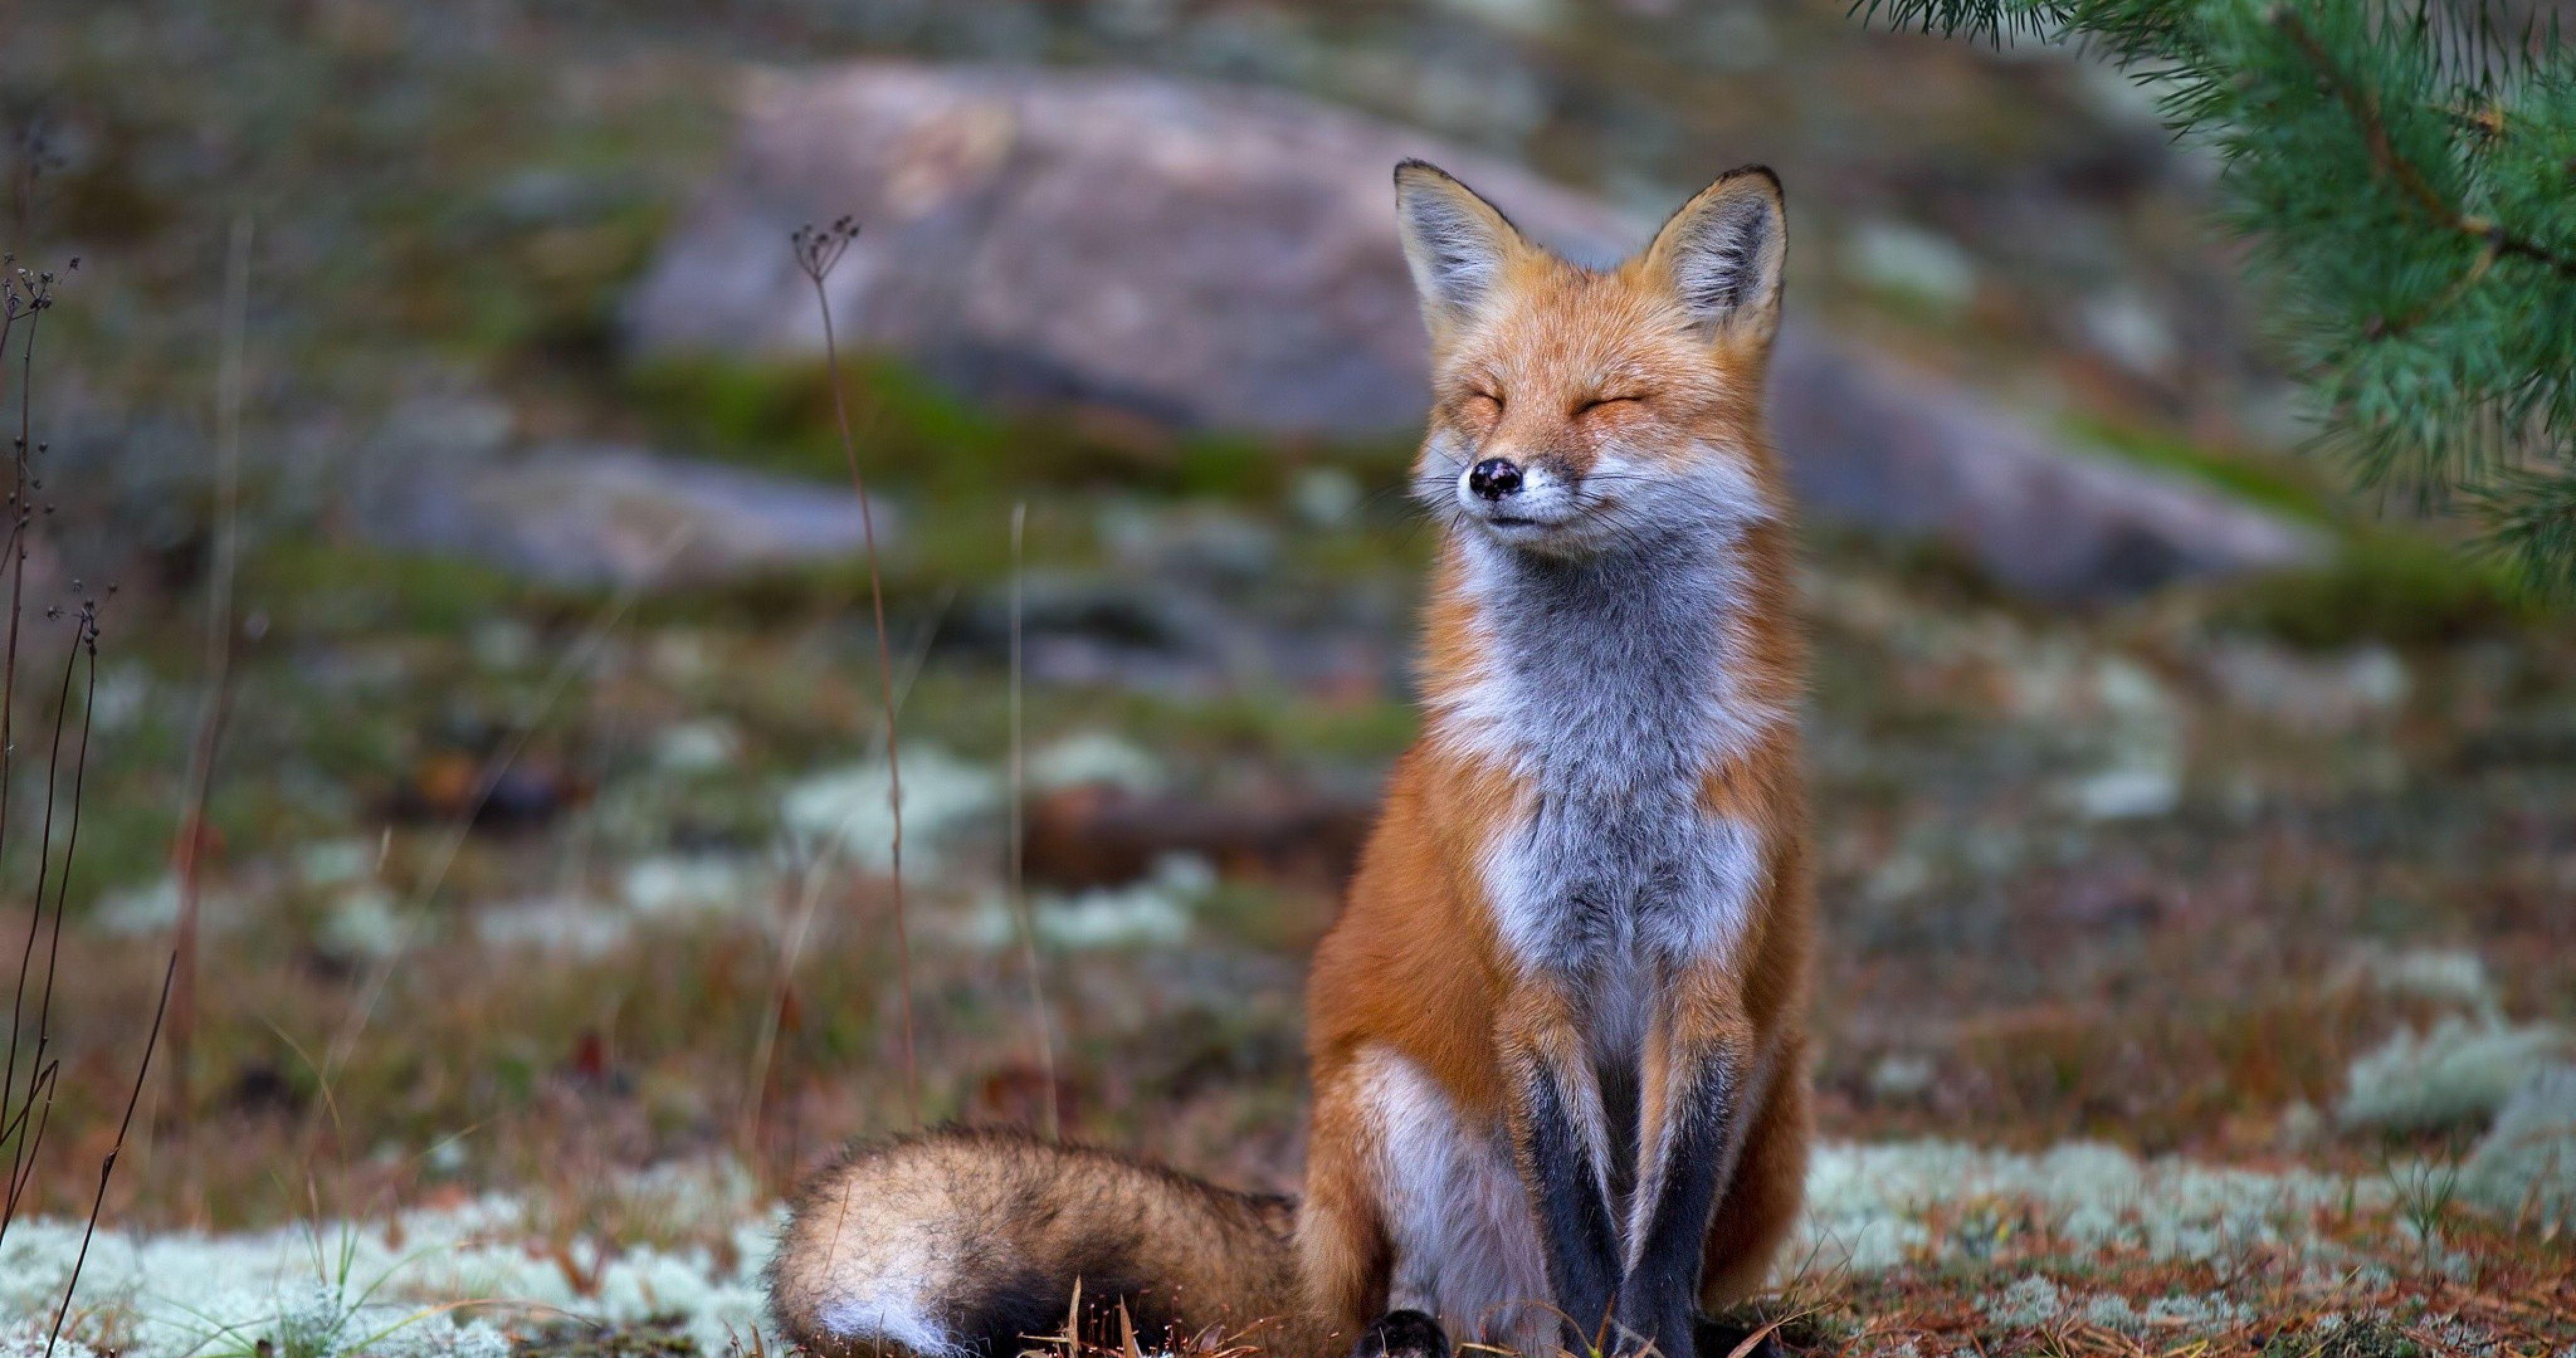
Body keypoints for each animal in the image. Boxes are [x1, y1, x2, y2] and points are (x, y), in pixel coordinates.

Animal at [768, 159, 1813, 1358]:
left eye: (1607, 403)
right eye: (1487, 399)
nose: (1494, 475)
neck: (1613, 765)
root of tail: (1301, 1232)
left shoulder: (1708, 979)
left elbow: (1662, 1228)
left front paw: (1652, 1340)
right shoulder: (1531, 978)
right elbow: (1580, 1223)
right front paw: (1607, 1341)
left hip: (1777, 1095)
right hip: (1381, 1103)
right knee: (1392, 1306)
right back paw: (1415, 1333)